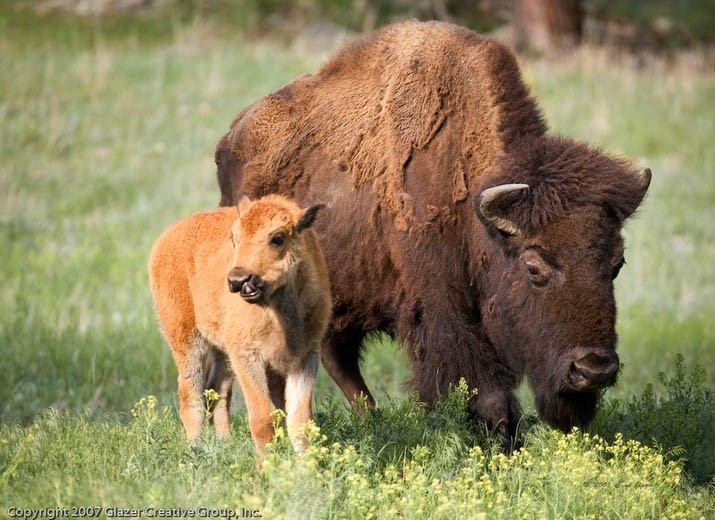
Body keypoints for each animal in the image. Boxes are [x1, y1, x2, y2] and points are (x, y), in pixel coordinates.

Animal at [213, 20, 651, 446]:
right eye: (534, 267)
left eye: (617, 263)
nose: (594, 369)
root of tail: (231, 137)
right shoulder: (440, 311)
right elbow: (484, 394)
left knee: (337, 360)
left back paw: (369, 422)